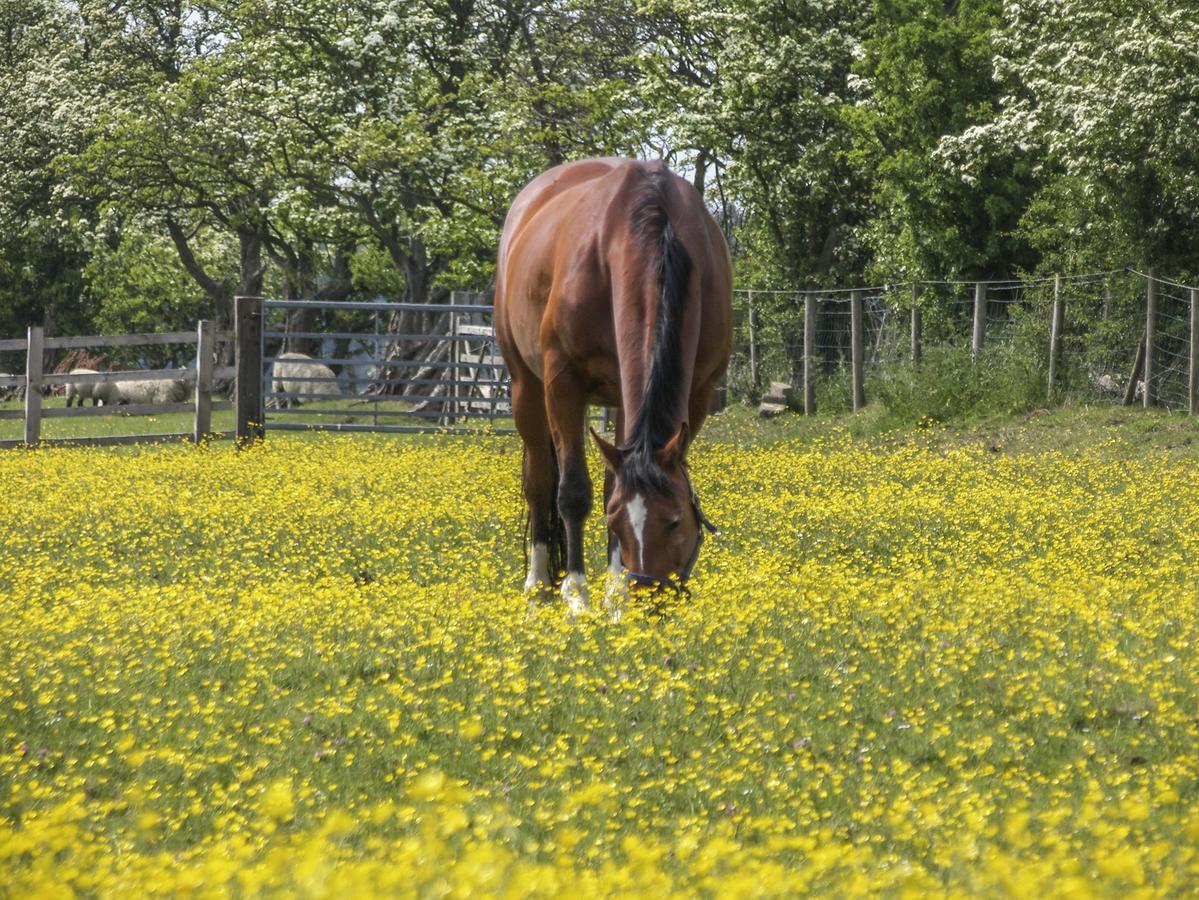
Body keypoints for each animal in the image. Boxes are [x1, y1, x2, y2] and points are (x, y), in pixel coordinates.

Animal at [493, 158, 728, 618]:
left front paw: (615, 597)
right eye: (616, 522)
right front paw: (577, 596)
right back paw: (539, 587)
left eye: (676, 520)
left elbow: (609, 487)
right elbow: (573, 493)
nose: (650, 599)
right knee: (539, 482)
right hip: (526, 389)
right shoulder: (563, 386)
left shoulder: (698, 392)